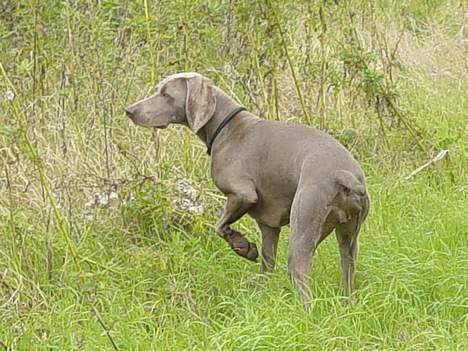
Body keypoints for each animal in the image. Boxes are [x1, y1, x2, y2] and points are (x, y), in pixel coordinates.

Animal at [124, 72, 370, 310]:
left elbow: (219, 226)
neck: (227, 127)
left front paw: (244, 247)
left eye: (165, 94)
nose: (129, 110)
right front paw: (261, 296)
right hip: (349, 238)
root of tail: (345, 176)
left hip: (303, 228)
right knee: (348, 272)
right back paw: (349, 307)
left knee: (302, 281)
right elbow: (266, 264)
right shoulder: (269, 226)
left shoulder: (242, 194)